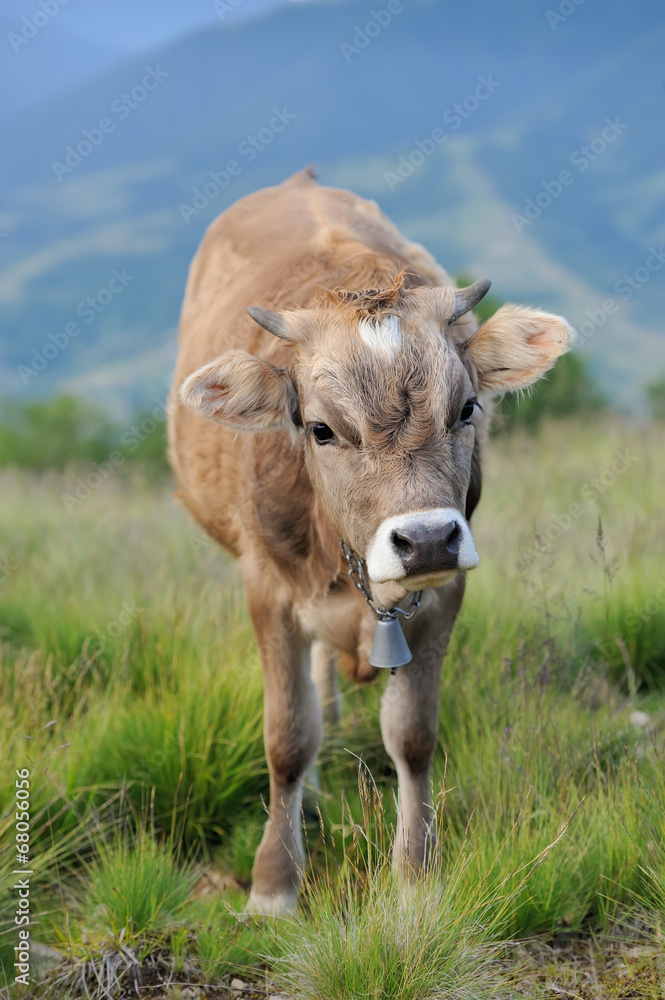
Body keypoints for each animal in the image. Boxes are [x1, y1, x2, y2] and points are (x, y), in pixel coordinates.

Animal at [167, 166, 572, 916]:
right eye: (321, 429)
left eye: (467, 408)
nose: (426, 538)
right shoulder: (266, 590)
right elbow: (287, 737)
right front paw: (273, 885)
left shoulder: (443, 592)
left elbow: (412, 735)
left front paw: (415, 875)